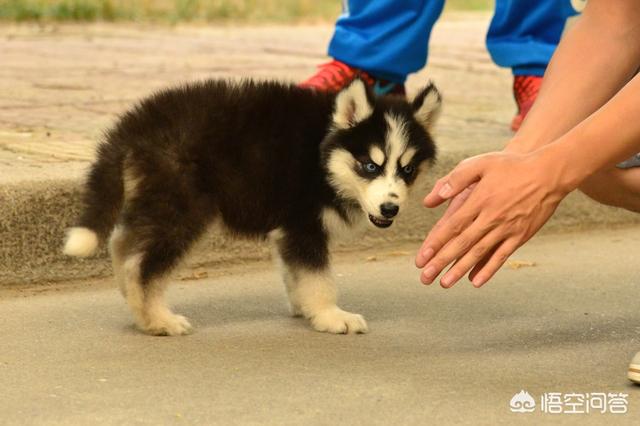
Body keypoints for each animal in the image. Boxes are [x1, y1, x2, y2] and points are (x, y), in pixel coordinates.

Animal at [62, 77, 440, 336]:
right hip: (183, 208)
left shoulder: (290, 230)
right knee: (141, 266)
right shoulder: (303, 224)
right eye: (371, 166)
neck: (322, 152)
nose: (390, 208)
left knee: (123, 243)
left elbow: (296, 273)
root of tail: (136, 123)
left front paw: (305, 307)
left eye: (407, 170)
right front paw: (331, 315)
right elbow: (319, 278)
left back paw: (132, 299)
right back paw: (156, 320)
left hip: (157, 200)